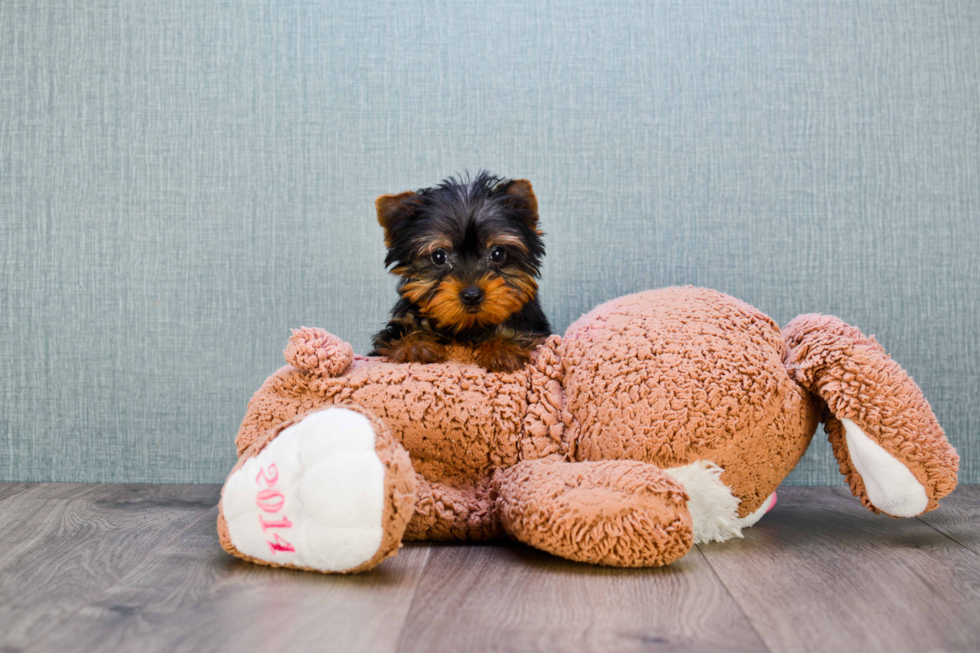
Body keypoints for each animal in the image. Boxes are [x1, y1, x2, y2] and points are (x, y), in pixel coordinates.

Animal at [370, 171, 552, 372]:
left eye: (498, 254)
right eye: (438, 257)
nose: (472, 295)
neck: (469, 326)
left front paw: (503, 348)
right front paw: (415, 345)